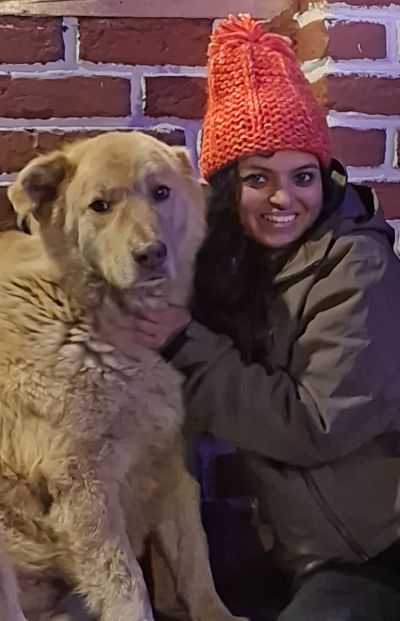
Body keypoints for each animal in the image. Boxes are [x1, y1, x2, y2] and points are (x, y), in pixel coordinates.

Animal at [0, 131, 248, 621]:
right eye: (100, 206)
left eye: (161, 192)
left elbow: (195, 559)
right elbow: (127, 583)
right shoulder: (83, 489)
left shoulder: (170, 463)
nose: (151, 254)